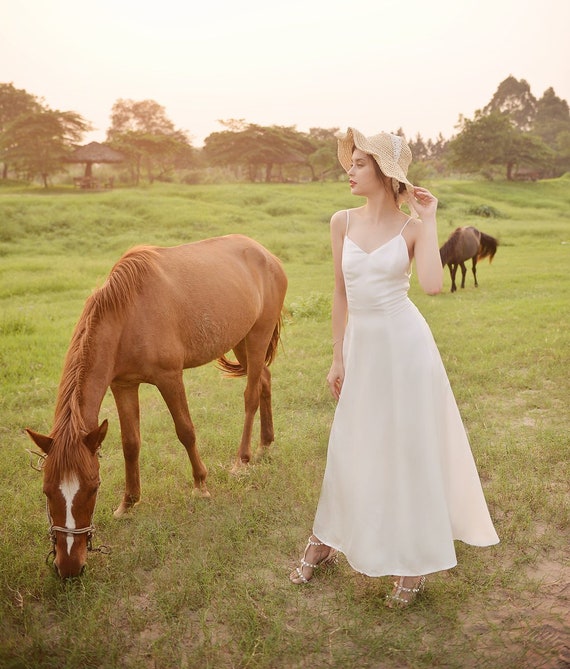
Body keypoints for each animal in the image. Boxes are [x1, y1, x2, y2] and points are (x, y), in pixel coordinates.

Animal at [25, 234, 286, 576]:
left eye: (93, 487)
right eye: (46, 490)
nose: (69, 566)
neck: (128, 314)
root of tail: (266, 254)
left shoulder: (169, 378)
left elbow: (185, 431)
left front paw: (201, 485)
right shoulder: (123, 386)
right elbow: (130, 443)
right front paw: (128, 503)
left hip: (257, 337)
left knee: (251, 394)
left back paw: (242, 460)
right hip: (240, 340)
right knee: (265, 382)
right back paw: (266, 444)